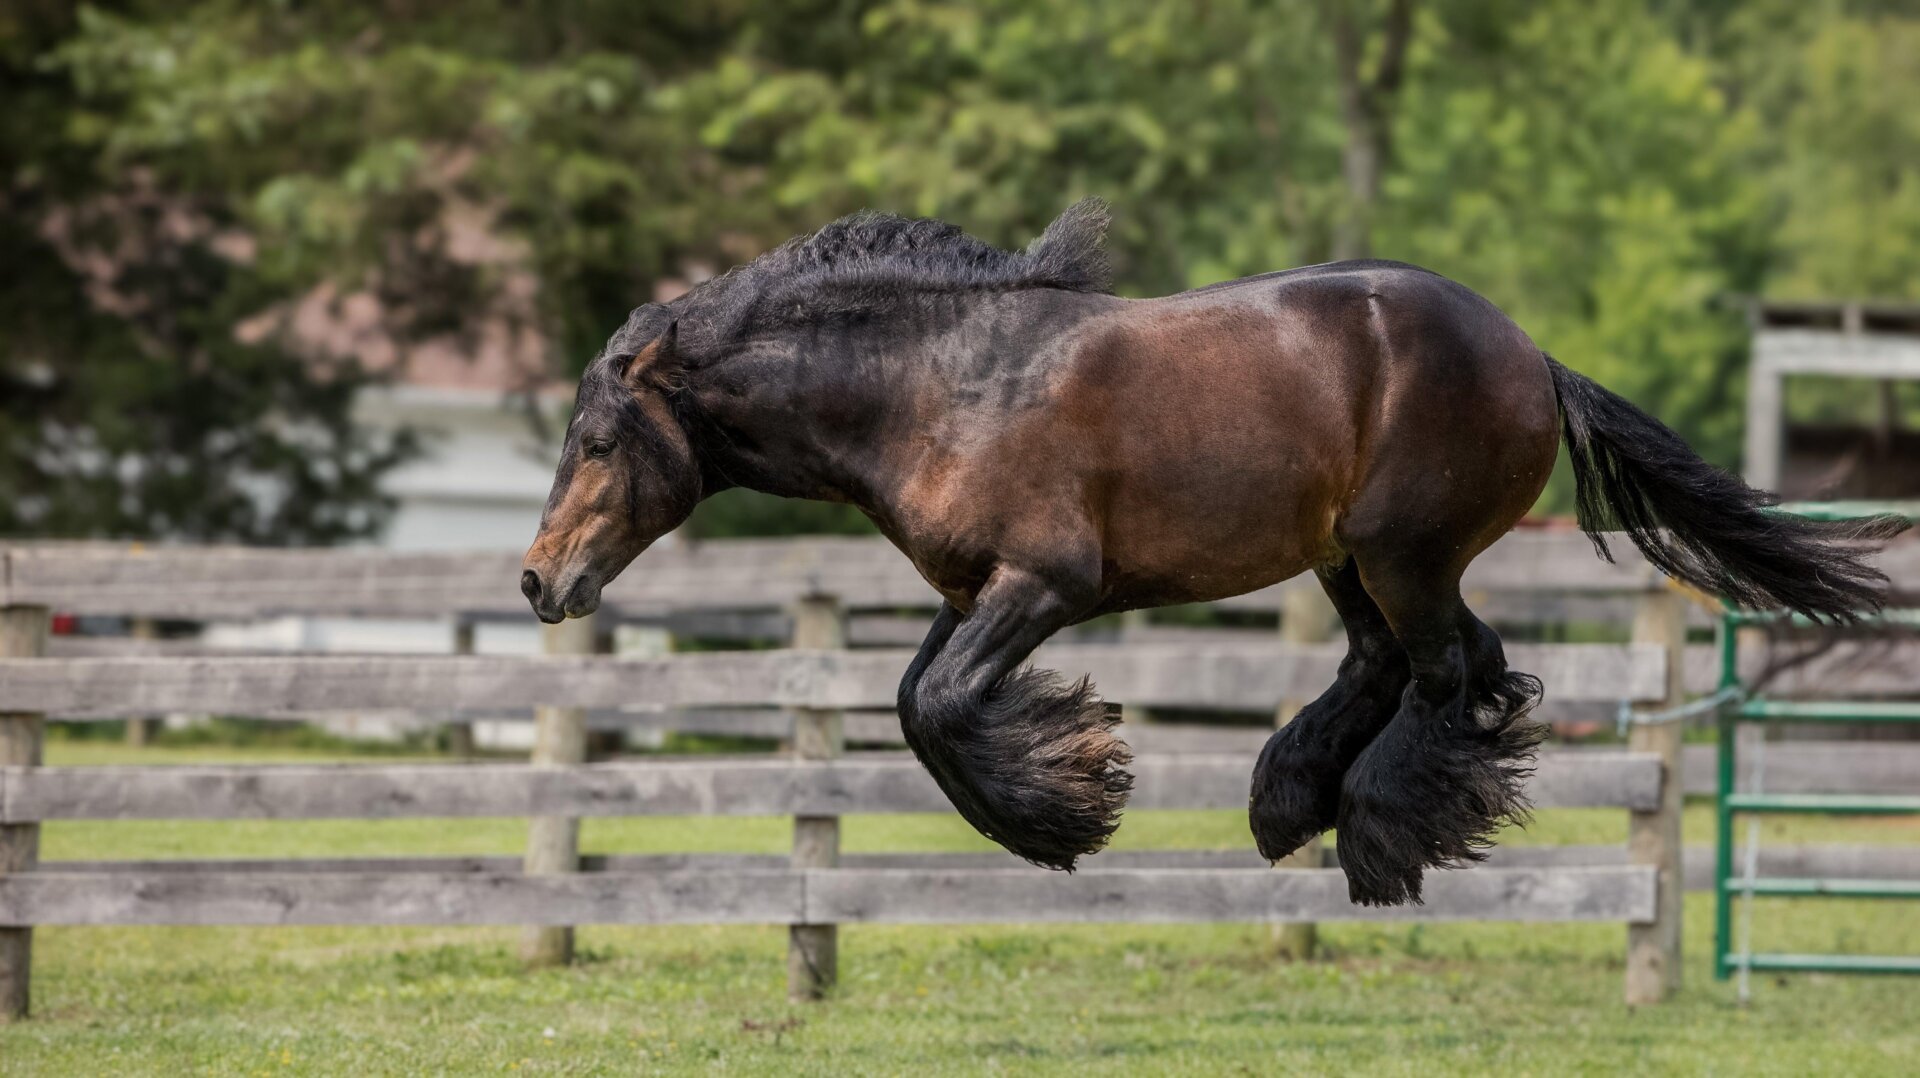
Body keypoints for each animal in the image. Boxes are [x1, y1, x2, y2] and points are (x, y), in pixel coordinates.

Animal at [514, 199, 1904, 899]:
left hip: (1403, 550)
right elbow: (917, 702)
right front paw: (1067, 787)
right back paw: (1295, 803)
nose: (539, 579)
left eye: (596, 438)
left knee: (1449, 672)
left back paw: (1378, 836)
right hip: (1352, 558)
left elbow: (941, 708)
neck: (939, 384)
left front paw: (1065, 809)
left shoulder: (1045, 584)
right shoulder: (972, 589)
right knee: (1423, 668)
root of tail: (1533, 356)